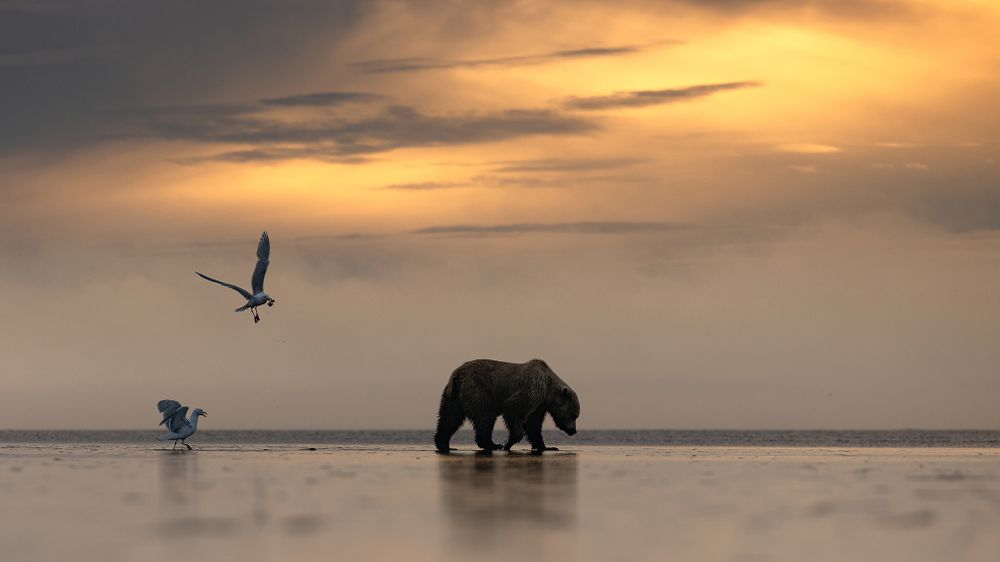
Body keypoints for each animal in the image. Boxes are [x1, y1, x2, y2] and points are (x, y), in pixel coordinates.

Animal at [434, 358, 581, 453]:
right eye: (574, 415)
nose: (573, 430)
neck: (547, 391)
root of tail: (458, 375)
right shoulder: (531, 390)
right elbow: (514, 409)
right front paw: (507, 443)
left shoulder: (539, 405)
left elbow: (533, 424)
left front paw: (548, 447)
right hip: (480, 391)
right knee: (485, 418)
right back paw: (493, 444)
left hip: (453, 397)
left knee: (449, 418)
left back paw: (444, 444)